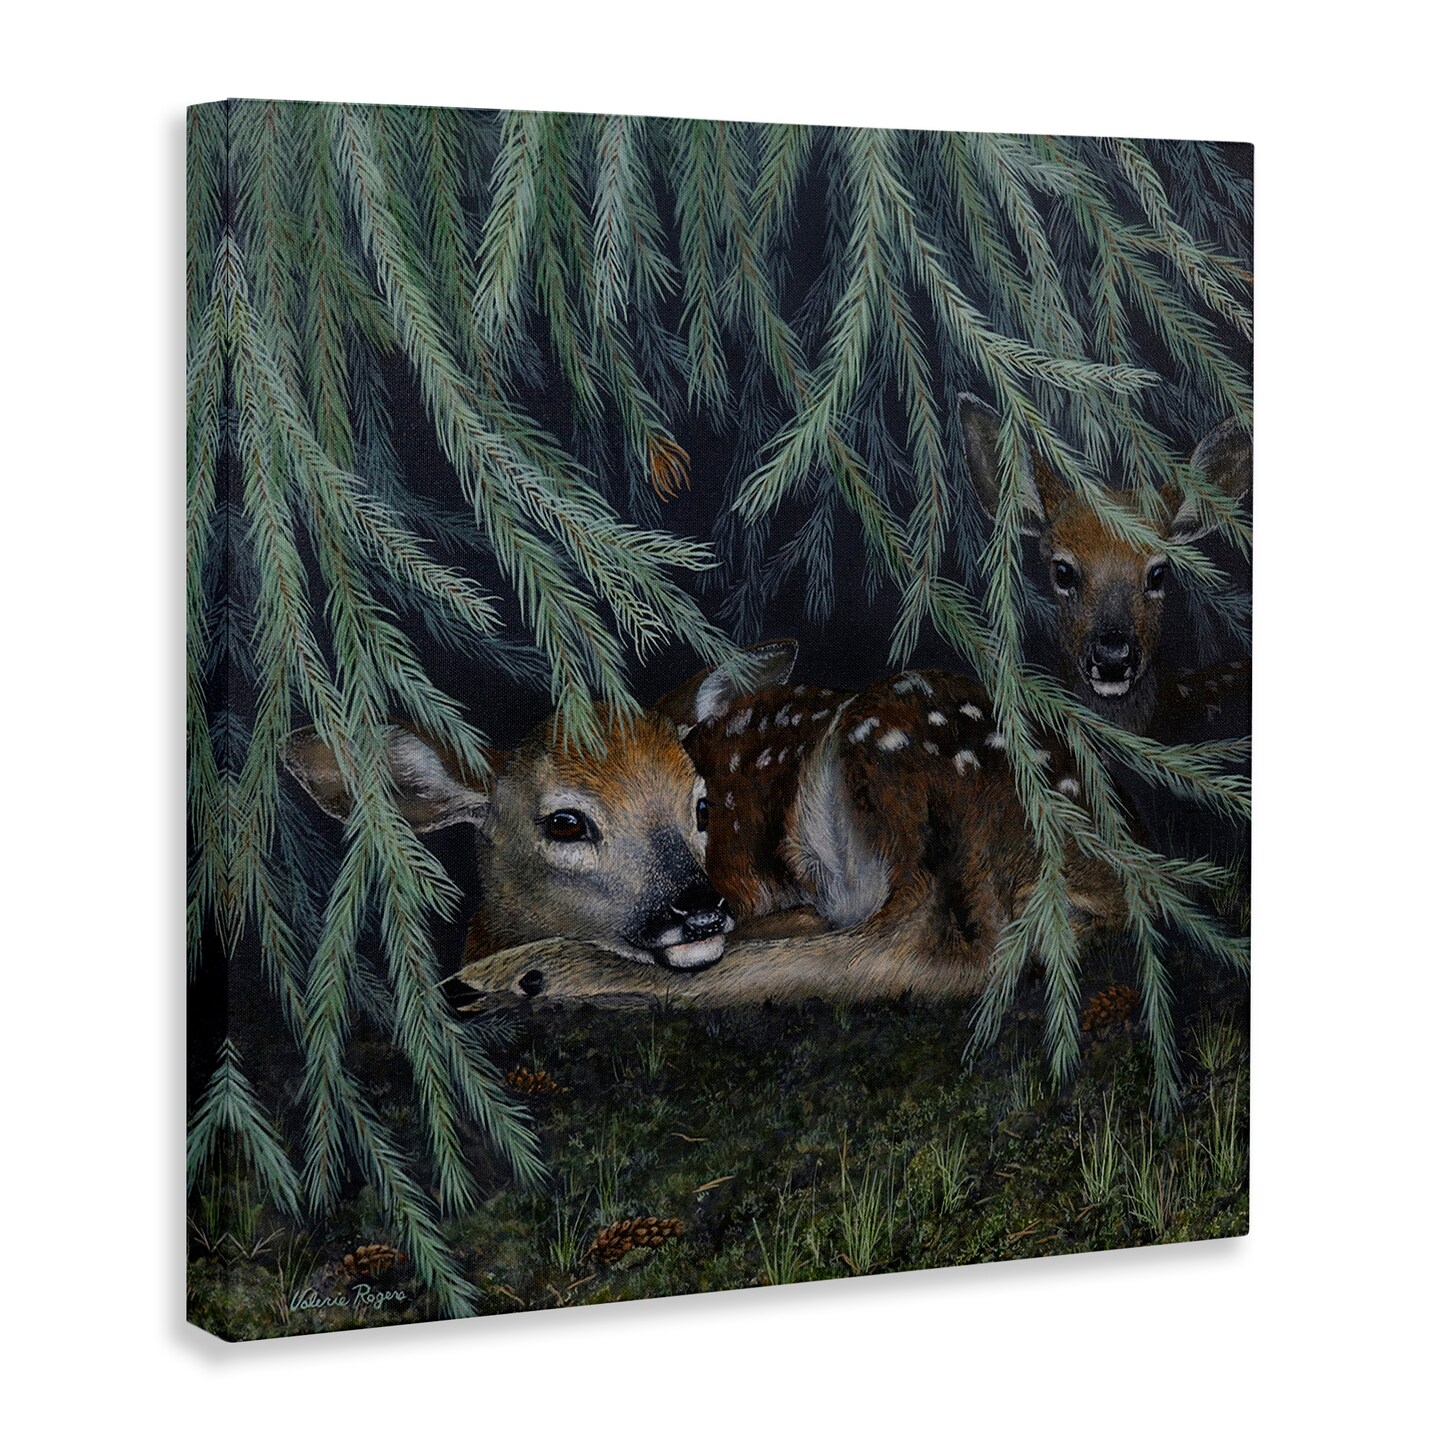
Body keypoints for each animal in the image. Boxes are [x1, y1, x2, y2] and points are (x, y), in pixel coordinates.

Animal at [363, 642, 1129, 1011]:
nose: (701, 909)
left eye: (701, 805)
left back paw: (527, 977)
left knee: (921, 945)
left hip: (882, 758)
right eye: (565, 822)